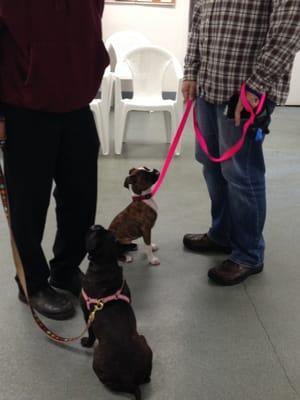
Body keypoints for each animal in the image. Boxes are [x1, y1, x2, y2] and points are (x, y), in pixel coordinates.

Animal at [79, 225, 152, 400]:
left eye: (93, 233)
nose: (95, 225)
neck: (106, 265)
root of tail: (130, 381)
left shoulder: (86, 314)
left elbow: (91, 334)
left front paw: (86, 342)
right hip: (144, 341)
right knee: (147, 377)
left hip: (97, 359)